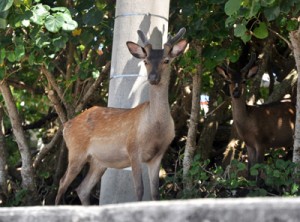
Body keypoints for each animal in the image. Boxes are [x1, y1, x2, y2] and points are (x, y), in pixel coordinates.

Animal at [54, 27, 188, 205]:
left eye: (166, 60)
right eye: (145, 61)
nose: (153, 78)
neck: (155, 128)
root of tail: (66, 126)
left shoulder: (157, 155)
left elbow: (155, 194)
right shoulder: (133, 149)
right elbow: (139, 190)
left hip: (98, 161)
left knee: (82, 189)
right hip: (76, 151)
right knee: (63, 182)